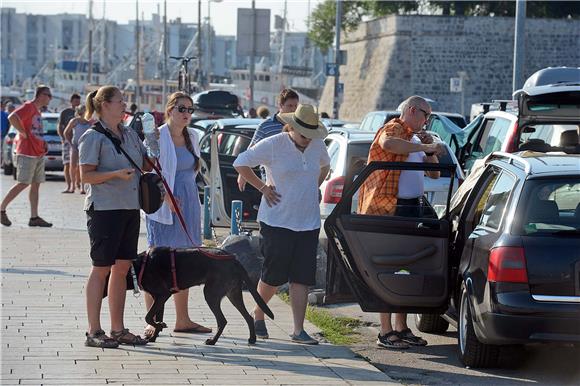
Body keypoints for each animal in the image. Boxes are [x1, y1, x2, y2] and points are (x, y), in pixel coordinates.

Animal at [135, 246, 276, 346]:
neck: (142, 265)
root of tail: (234, 260)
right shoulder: (159, 299)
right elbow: (156, 318)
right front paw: (154, 335)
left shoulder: (163, 295)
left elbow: (148, 317)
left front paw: (159, 327)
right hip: (233, 294)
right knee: (248, 317)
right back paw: (252, 339)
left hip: (210, 294)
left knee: (222, 320)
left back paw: (212, 341)